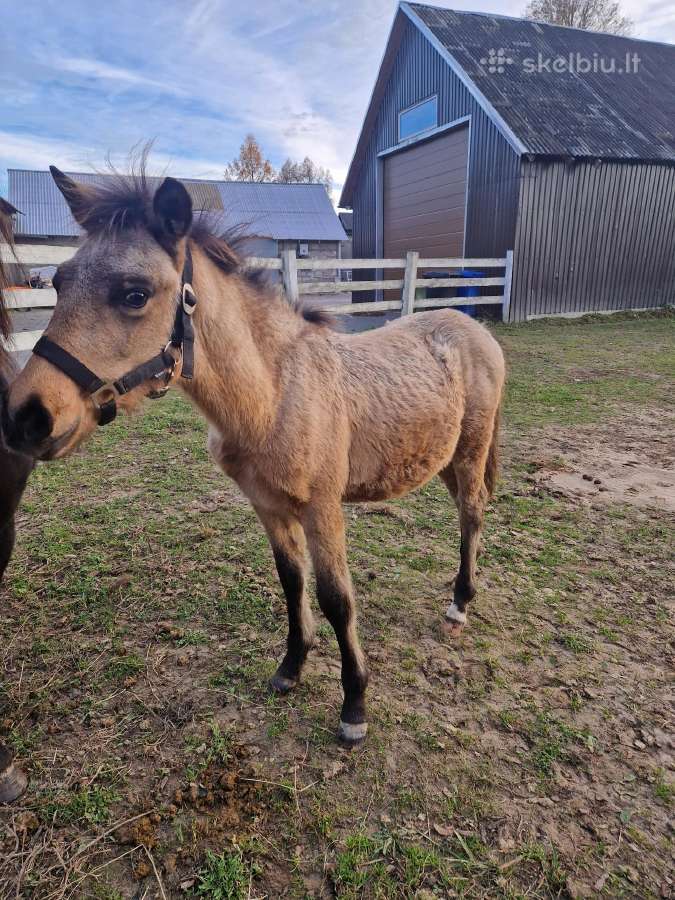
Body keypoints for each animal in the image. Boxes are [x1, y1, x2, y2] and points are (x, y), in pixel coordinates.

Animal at [2, 165, 504, 745]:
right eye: (59, 283)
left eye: (135, 293)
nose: (24, 417)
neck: (274, 394)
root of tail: (476, 329)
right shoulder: (268, 506)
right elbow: (292, 583)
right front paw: (291, 667)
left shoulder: (323, 509)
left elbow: (337, 599)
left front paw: (354, 705)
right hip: (441, 459)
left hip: (470, 452)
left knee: (472, 513)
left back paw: (460, 603)